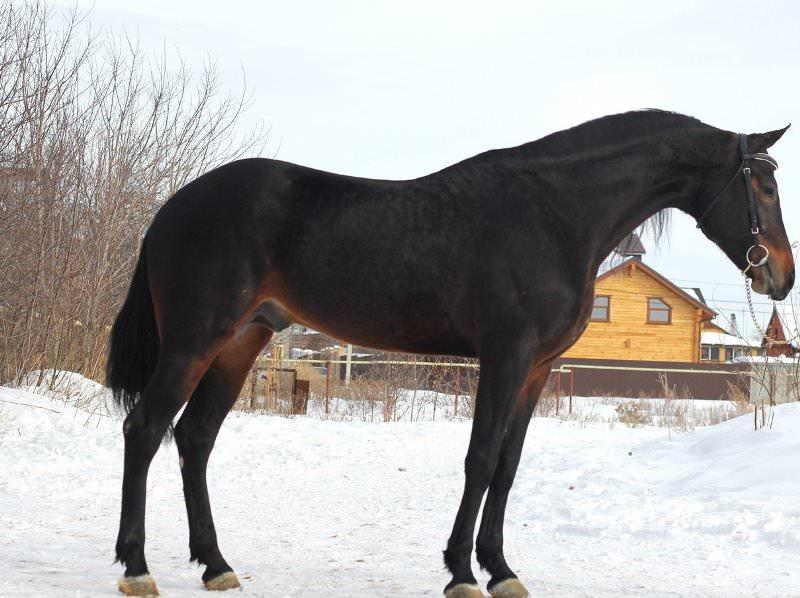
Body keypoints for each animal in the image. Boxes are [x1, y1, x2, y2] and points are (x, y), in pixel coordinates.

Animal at [107, 110, 793, 597]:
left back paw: (215, 565)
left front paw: (501, 569)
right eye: (762, 185)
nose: (781, 277)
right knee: (145, 428)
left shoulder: (538, 368)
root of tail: (172, 208)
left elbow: (509, 465)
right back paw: (137, 568)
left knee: (194, 437)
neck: (555, 212)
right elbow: (481, 458)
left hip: (241, 342)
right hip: (196, 340)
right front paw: (462, 572)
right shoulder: (506, 356)